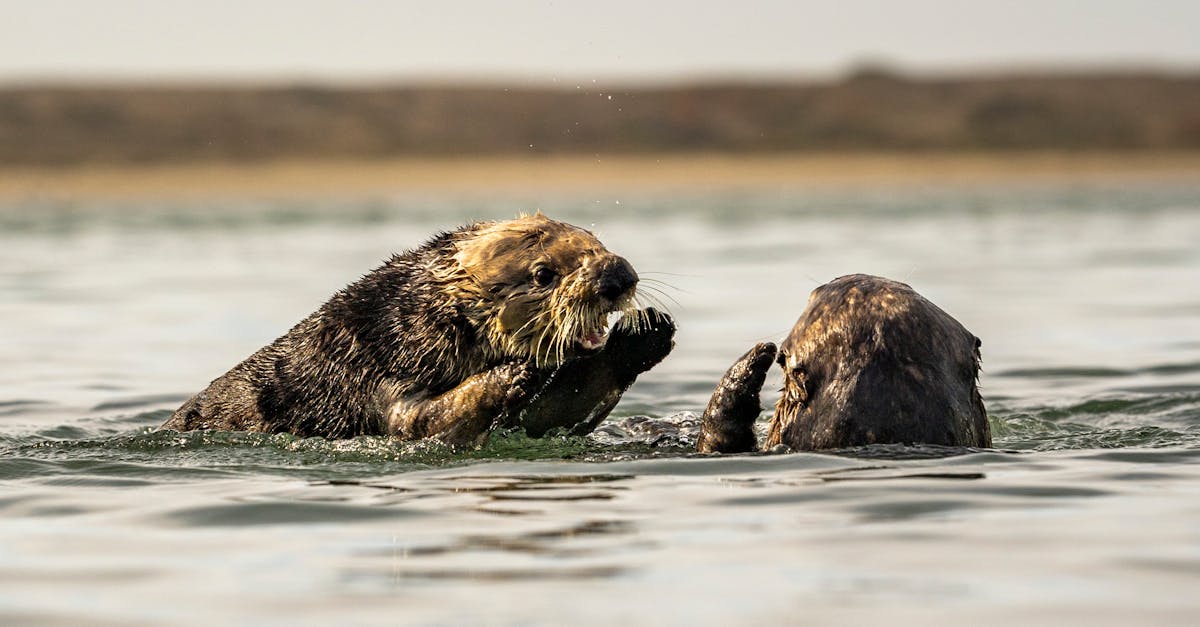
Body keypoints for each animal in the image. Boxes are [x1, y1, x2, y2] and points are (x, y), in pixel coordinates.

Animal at [162, 215, 676, 444]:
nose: (618, 276)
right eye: (544, 274)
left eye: (596, 241)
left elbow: (556, 413)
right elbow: (422, 421)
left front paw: (645, 332)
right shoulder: (379, 370)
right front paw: (511, 375)